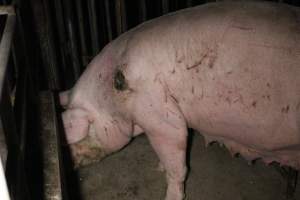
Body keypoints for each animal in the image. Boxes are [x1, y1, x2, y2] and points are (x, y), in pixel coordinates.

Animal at [59, 1, 298, 200]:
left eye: (79, 131)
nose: (71, 163)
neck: (114, 95)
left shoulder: (158, 110)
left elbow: (178, 158)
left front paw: (170, 193)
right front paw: (159, 167)